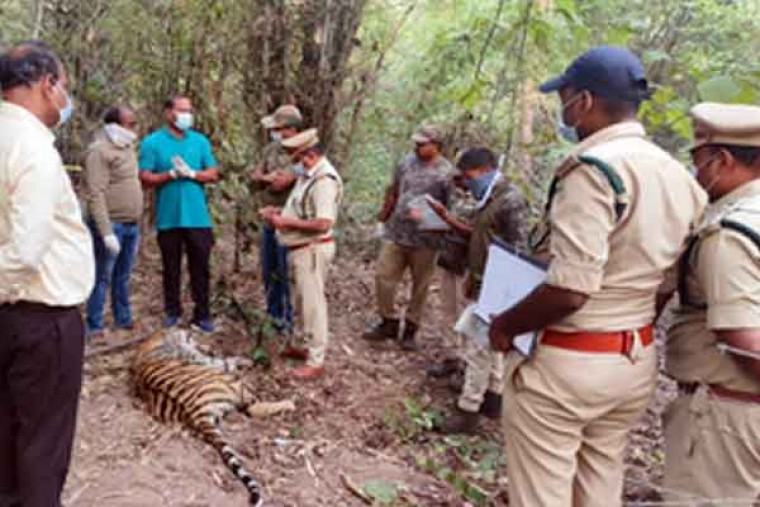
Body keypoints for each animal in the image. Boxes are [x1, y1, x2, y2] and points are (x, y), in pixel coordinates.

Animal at [130, 328, 264, 506]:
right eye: (193, 336)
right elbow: (224, 361)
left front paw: (245, 359)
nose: (209, 347)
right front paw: (246, 360)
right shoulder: (204, 360)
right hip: (232, 384)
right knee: (255, 405)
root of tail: (196, 412)